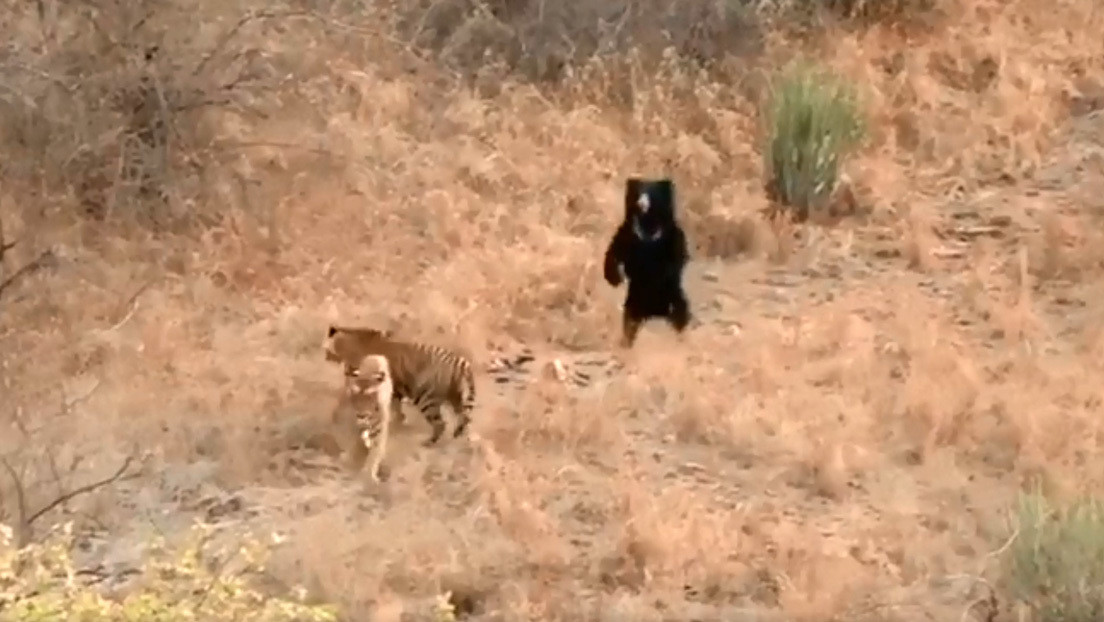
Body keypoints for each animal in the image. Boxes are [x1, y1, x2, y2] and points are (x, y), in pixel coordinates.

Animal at [324, 324, 477, 446]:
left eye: (327, 350)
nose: (325, 357)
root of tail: (460, 362)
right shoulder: (395, 390)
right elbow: (396, 408)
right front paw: (398, 421)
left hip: (426, 399)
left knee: (441, 424)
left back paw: (429, 443)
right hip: (454, 399)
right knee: (465, 419)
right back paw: (458, 436)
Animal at [333, 354, 395, 483]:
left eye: (370, 395)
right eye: (356, 393)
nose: (361, 414)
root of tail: (375, 356)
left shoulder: (378, 431)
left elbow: (374, 455)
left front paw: (368, 475)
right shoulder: (345, 423)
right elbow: (349, 443)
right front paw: (348, 461)